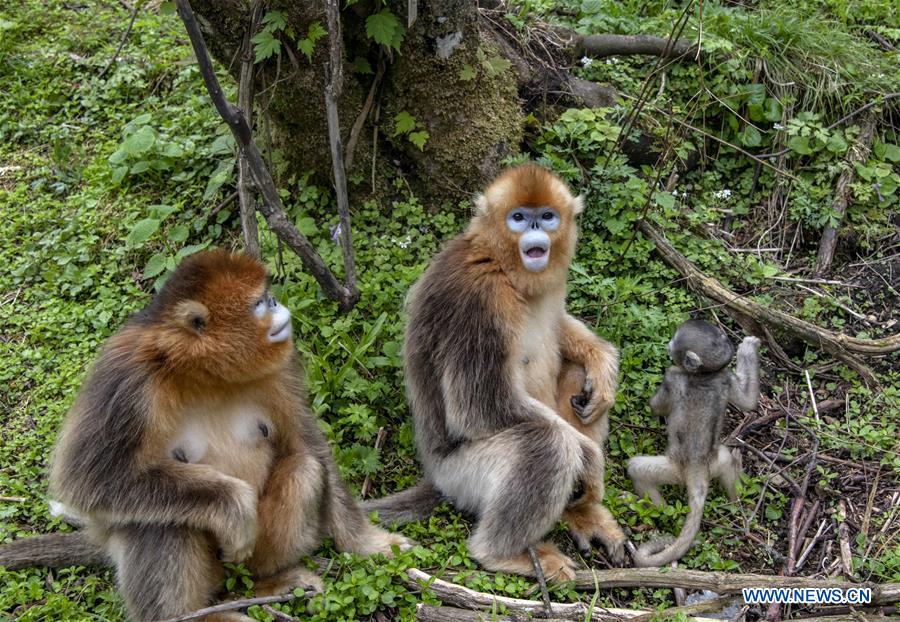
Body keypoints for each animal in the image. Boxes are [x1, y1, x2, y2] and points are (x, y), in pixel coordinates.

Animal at [0, 250, 408, 622]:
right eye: (260, 303)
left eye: (268, 297)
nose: (279, 305)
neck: (200, 373)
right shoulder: (126, 381)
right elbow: (87, 481)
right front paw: (232, 505)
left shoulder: (282, 367)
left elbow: (309, 446)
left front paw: (367, 543)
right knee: (159, 523)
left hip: (246, 560)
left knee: (304, 469)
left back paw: (270, 583)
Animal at [364, 165, 625, 581]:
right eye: (518, 218)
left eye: (546, 216)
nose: (534, 228)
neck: (502, 265)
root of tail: (435, 474)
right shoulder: (479, 298)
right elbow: (476, 409)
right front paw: (590, 457)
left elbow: (562, 334)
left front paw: (601, 362)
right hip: (462, 477)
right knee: (548, 442)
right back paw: (501, 554)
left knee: (575, 379)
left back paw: (582, 513)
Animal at [626, 319, 760, 567]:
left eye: (675, 340)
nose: (668, 344)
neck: (703, 375)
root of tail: (696, 474)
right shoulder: (725, 376)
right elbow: (748, 402)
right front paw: (748, 348)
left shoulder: (673, 376)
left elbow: (656, 406)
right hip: (714, 463)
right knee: (726, 461)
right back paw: (736, 499)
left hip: (673, 471)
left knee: (637, 469)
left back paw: (653, 508)